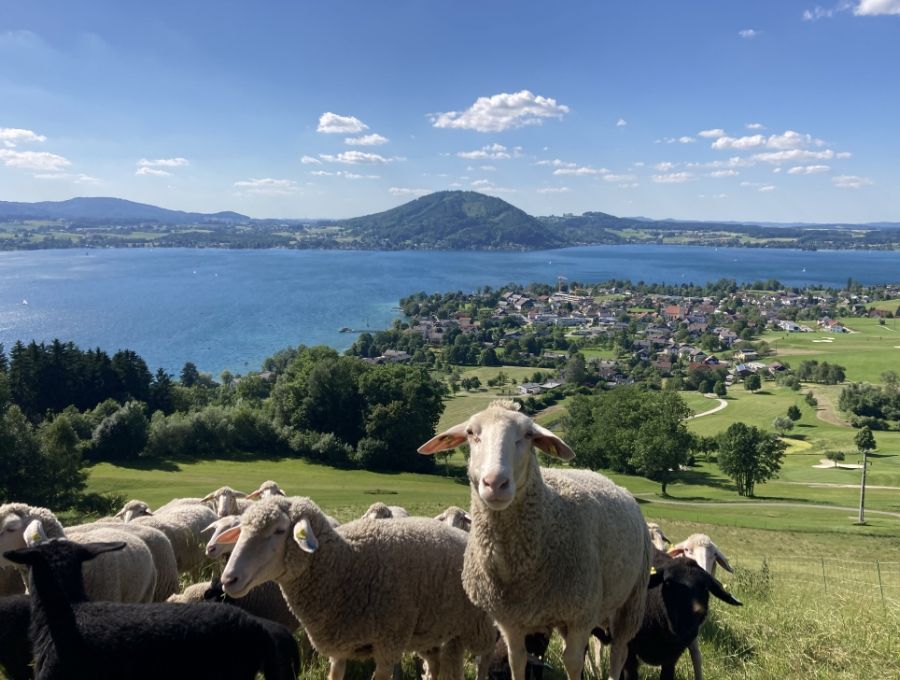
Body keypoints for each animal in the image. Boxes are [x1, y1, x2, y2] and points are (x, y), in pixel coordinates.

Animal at [221, 494, 496, 680]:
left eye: (279, 530)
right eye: (242, 529)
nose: (228, 579)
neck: (346, 565)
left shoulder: (389, 643)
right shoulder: (340, 643)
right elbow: (335, 675)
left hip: (477, 625)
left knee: (484, 659)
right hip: (433, 630)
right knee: (437, 664)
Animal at [418, 398, 652, 680]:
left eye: (528, 435)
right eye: (471, 433)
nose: (495, 483)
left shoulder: (581, 615)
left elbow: (573, 662)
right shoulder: (510, 620)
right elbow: (517, 660)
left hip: (632, 600)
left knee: (619, 651)